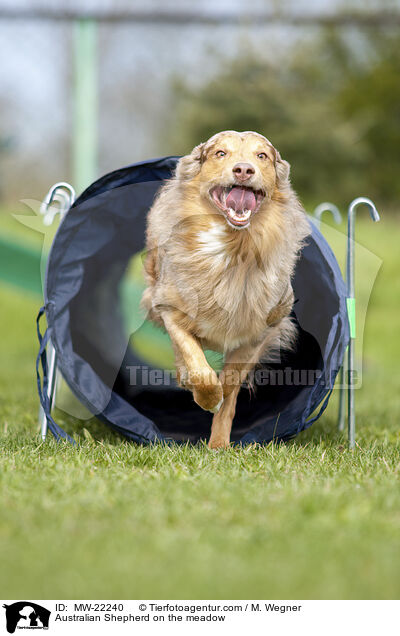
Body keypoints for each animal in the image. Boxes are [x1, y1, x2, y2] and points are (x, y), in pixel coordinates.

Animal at [142, 130, 310, 448]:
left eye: (261, 155)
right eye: (221, 153)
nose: (243, 170)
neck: (235, 246)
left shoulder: (260, 330)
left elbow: (231, 386)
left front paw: (219, 443)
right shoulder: (170, 308)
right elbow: (196, 363)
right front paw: (207, 398)